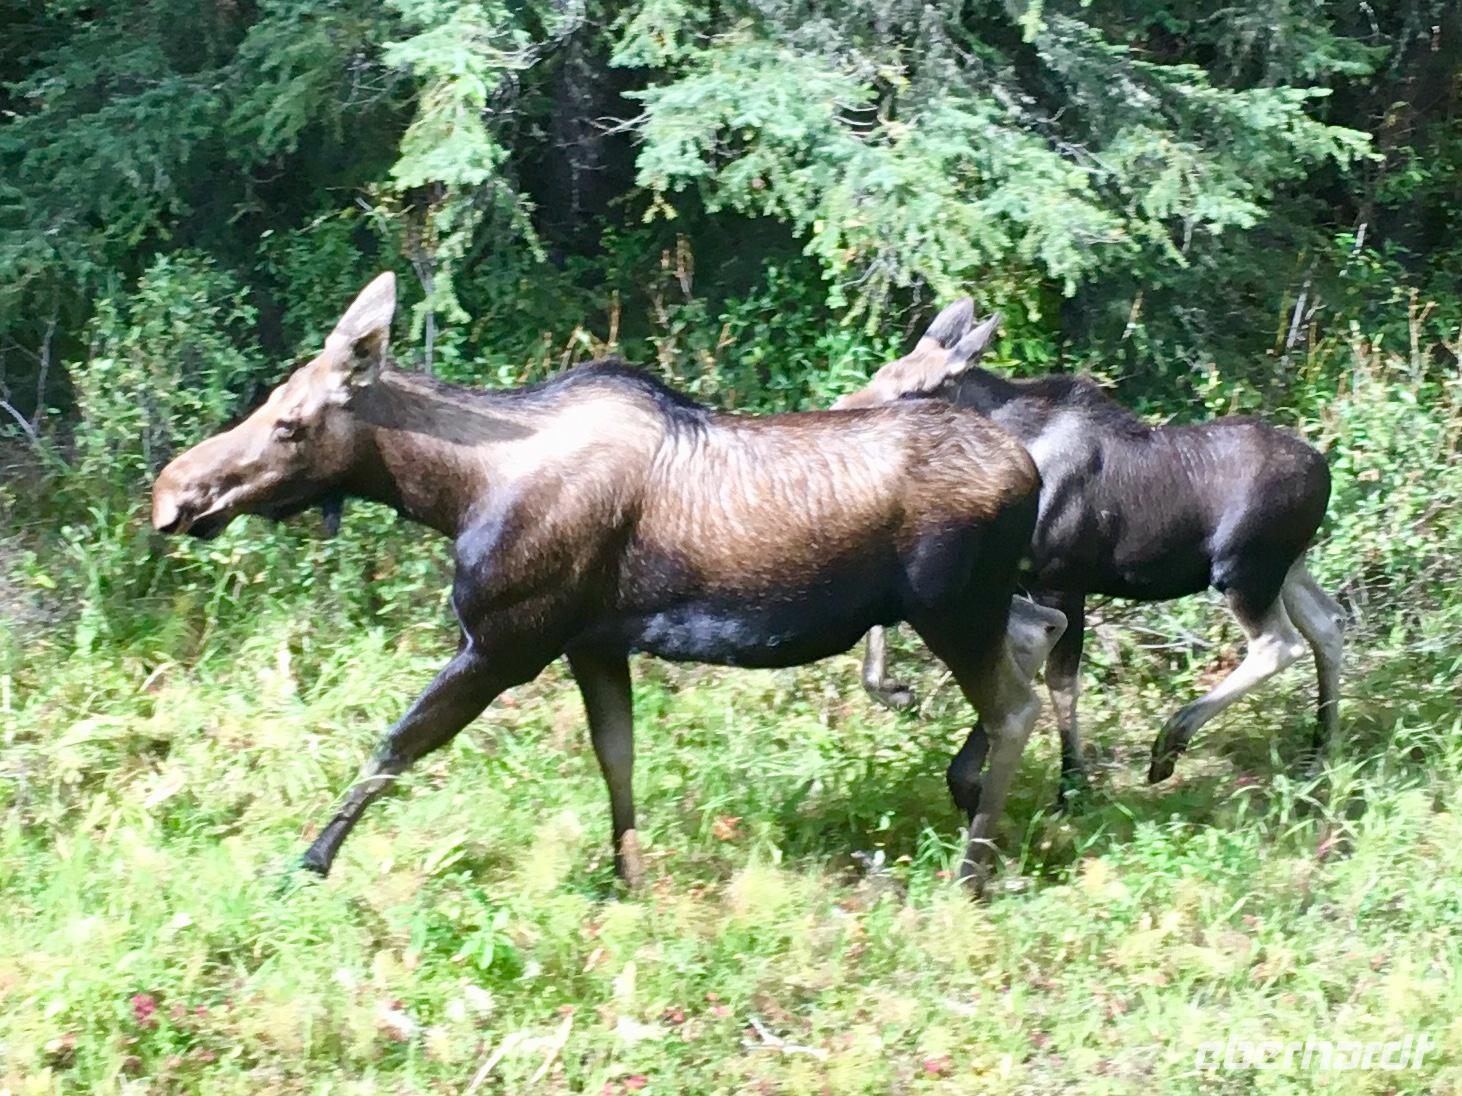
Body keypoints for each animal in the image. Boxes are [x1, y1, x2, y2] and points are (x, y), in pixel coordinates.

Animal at [151, 274, 1068, 892]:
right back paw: (975, 802)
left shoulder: (506, 640)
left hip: (950, 606)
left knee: (1015, 703)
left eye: (290, 423)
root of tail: (1027, 470)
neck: (452, 494)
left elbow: (394, 747)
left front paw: (307, 861)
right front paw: (629, 878)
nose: (172, 494)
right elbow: (617, 758)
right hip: (974, 604)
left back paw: (971, 869)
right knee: (1038, 634)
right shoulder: (592, 642)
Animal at [834, 300, 1345, 796]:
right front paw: (894, 690)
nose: (843, 409)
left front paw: (1073, 784)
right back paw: (1319, 751)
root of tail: (1326, 475)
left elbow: (1061, 682)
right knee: (1329, 622)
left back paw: (1170, 743)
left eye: (914, 391)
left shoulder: (1059, 579)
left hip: (1244, 570)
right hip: (1288, 568)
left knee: (1278, 643)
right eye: (883, 372)